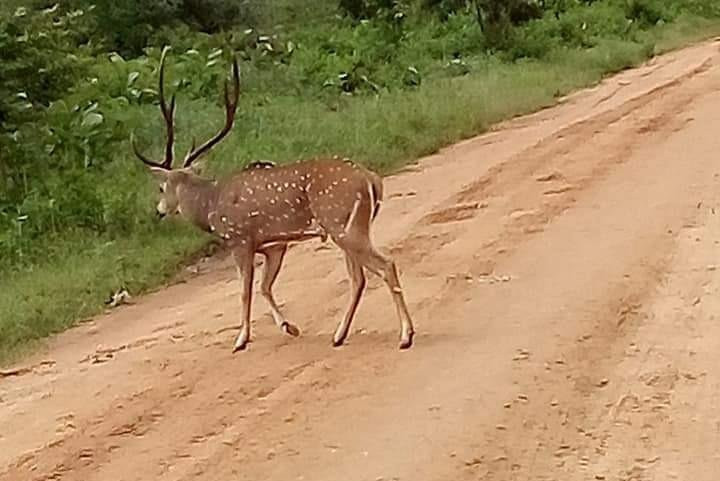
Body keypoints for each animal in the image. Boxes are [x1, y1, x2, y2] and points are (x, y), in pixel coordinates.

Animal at [132, 47, 414, 348]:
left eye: (161, 187)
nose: (159, 210)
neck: (210, 205)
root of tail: (372, 180)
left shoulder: (240, 239)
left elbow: (246, 291)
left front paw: (241, 339)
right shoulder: (274, 245)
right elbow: (265, 286)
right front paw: (289, 327)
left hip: (342, 224)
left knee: (384, 266)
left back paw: (405, 336)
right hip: (351, 228)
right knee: (358, 277)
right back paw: (340, 335)